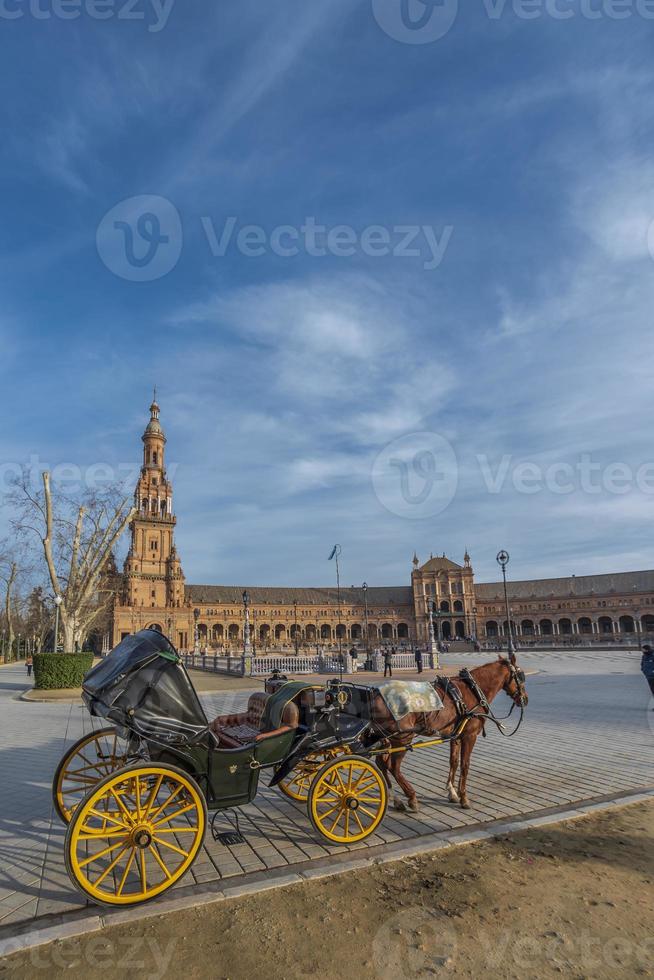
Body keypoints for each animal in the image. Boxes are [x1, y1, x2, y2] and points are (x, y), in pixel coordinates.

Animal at [372, 660, 532, 812]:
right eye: (520, 677)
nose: (525, 699)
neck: (473, 690)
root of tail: (376, 695)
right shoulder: (469, 736)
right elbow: (465, 764)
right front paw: (464, 798)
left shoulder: (456, 736)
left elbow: (453, 761)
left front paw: (452, 793)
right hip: (402, 738)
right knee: (394, 767)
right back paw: (411, 797)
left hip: (387, 738)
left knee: (381, 763)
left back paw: (395, 798)